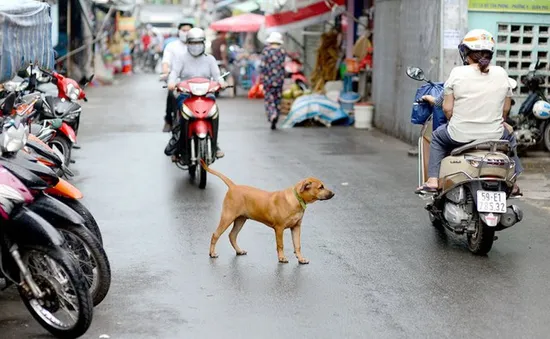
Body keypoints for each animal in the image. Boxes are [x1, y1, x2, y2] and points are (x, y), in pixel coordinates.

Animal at [201, 160, 334, 266]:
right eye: (321, 187)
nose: (333, 194)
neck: (296, 199)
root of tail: (233, 186)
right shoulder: (279, 228)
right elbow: (280, 245)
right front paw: (282, 258)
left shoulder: (296, 227)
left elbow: (297, 245)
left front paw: (301, 259)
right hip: (227, 217)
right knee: (216, 234)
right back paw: (212, 253)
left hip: (240, 219)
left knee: (232, 235)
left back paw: (239, 250)